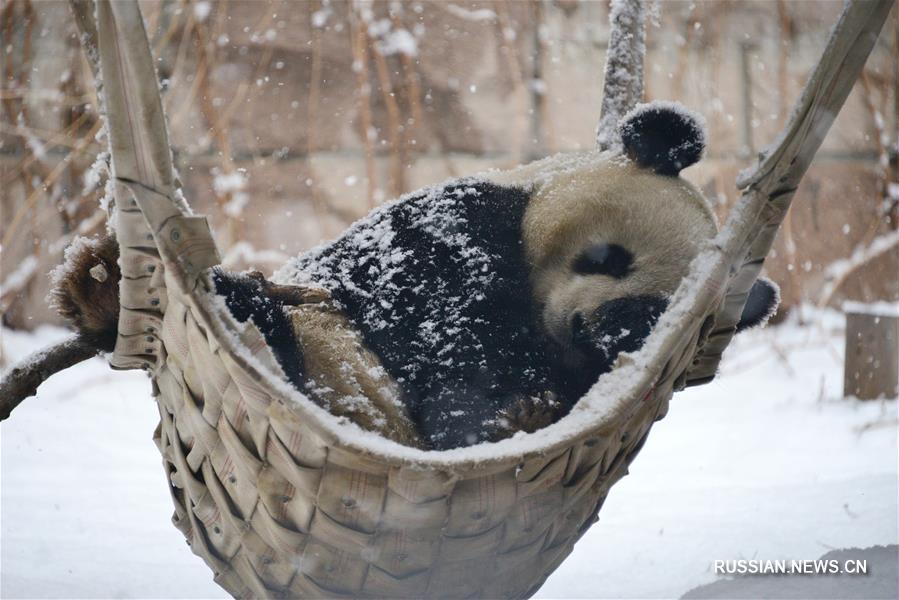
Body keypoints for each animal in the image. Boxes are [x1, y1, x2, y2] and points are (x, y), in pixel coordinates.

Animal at [52, 103, 776, 450]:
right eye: (605, 256)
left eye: (652, 315)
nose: (589, 324)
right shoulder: (452, 231)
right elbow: (432, 322)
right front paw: (477, 420)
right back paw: (104, 288)